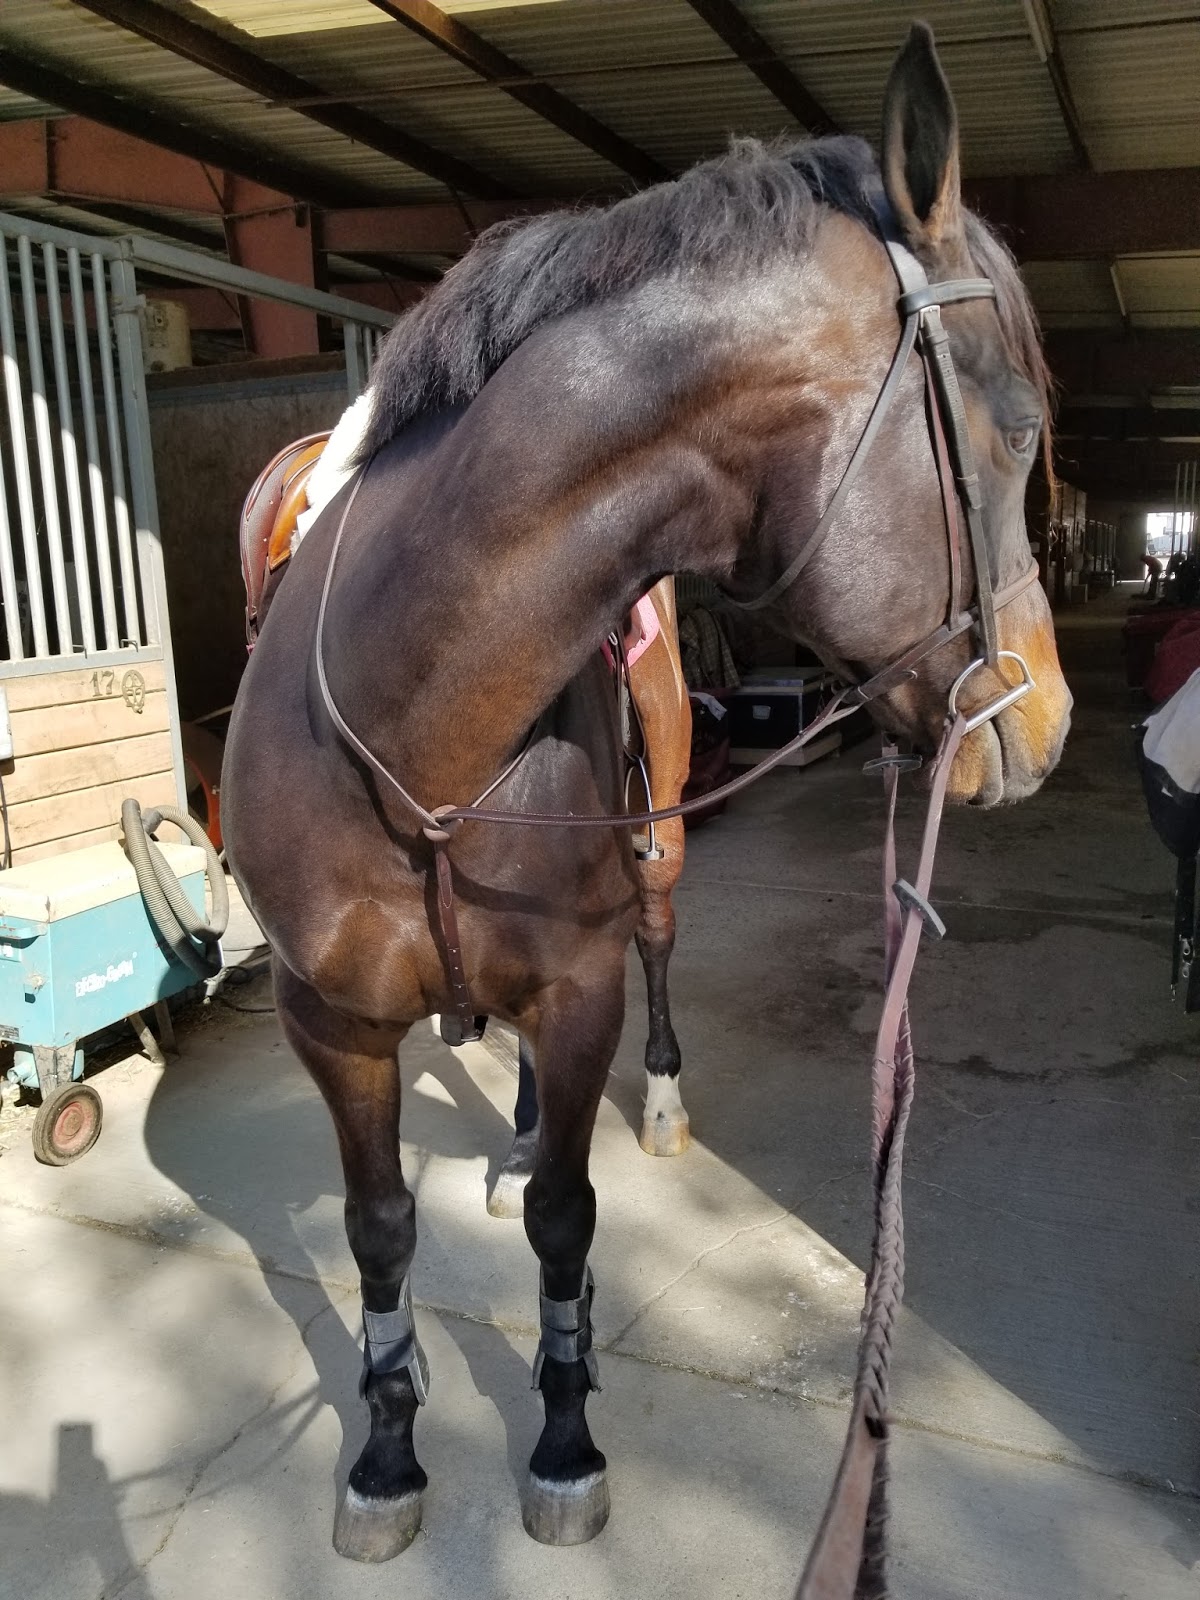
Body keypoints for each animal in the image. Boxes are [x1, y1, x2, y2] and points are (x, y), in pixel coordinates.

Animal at [222, 23, 1071, 1564]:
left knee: (661, 944)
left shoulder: (580, 986)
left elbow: (569, 1214)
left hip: (662, 842)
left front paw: (563, 1436)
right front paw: (385, 1452)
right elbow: (378, 1231)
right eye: (1020, 425)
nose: (1046, 720)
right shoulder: (333, 1024)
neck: (416, 719)